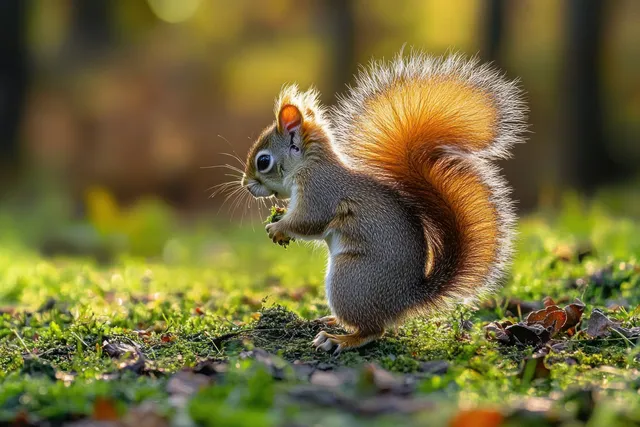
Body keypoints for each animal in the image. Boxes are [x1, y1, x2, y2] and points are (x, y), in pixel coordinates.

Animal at [241, 51, 527, 354]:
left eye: (263, 161)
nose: (245, 185)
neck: (309, 164)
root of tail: (406, 298)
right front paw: (279, 217)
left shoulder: (320, 191)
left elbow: (310, 221)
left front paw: (277, 227)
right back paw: (332, 321)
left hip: (350, 280)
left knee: (373, 330)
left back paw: (339, 339)